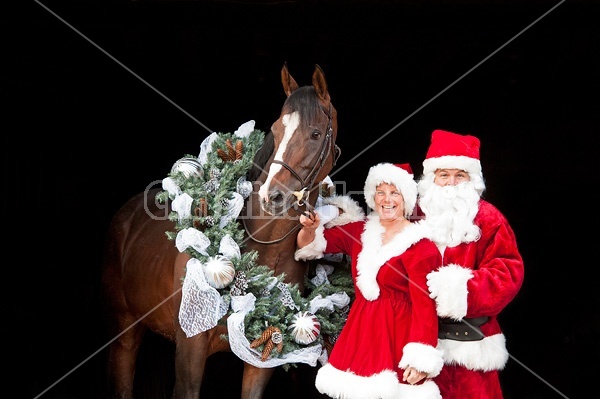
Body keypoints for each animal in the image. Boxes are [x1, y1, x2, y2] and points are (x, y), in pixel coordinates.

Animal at [101, 63, 340, 399]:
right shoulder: (190, 351)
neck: (264, 251)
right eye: (276, 131)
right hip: (124, 331)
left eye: (316, 134)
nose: (272, 196)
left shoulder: (262, 361)